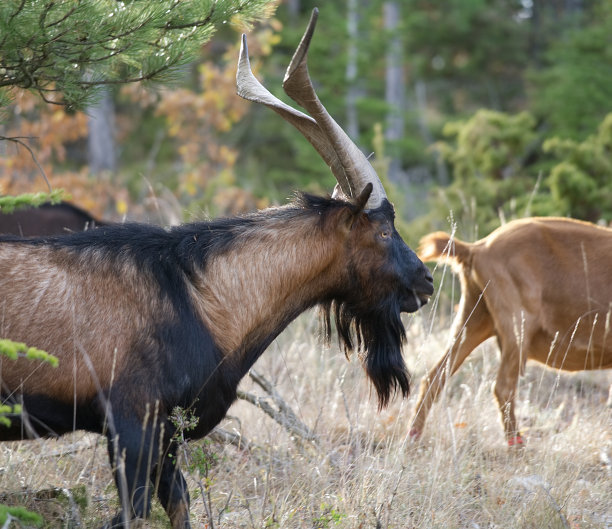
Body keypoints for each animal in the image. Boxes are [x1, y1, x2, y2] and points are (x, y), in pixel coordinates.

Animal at [412, 216, 612, 446]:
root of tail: (477, 249)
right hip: (518, 326)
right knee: (503, 387)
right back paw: (518, 446)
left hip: (474, 319)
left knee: (434, 377)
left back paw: (412, 439)